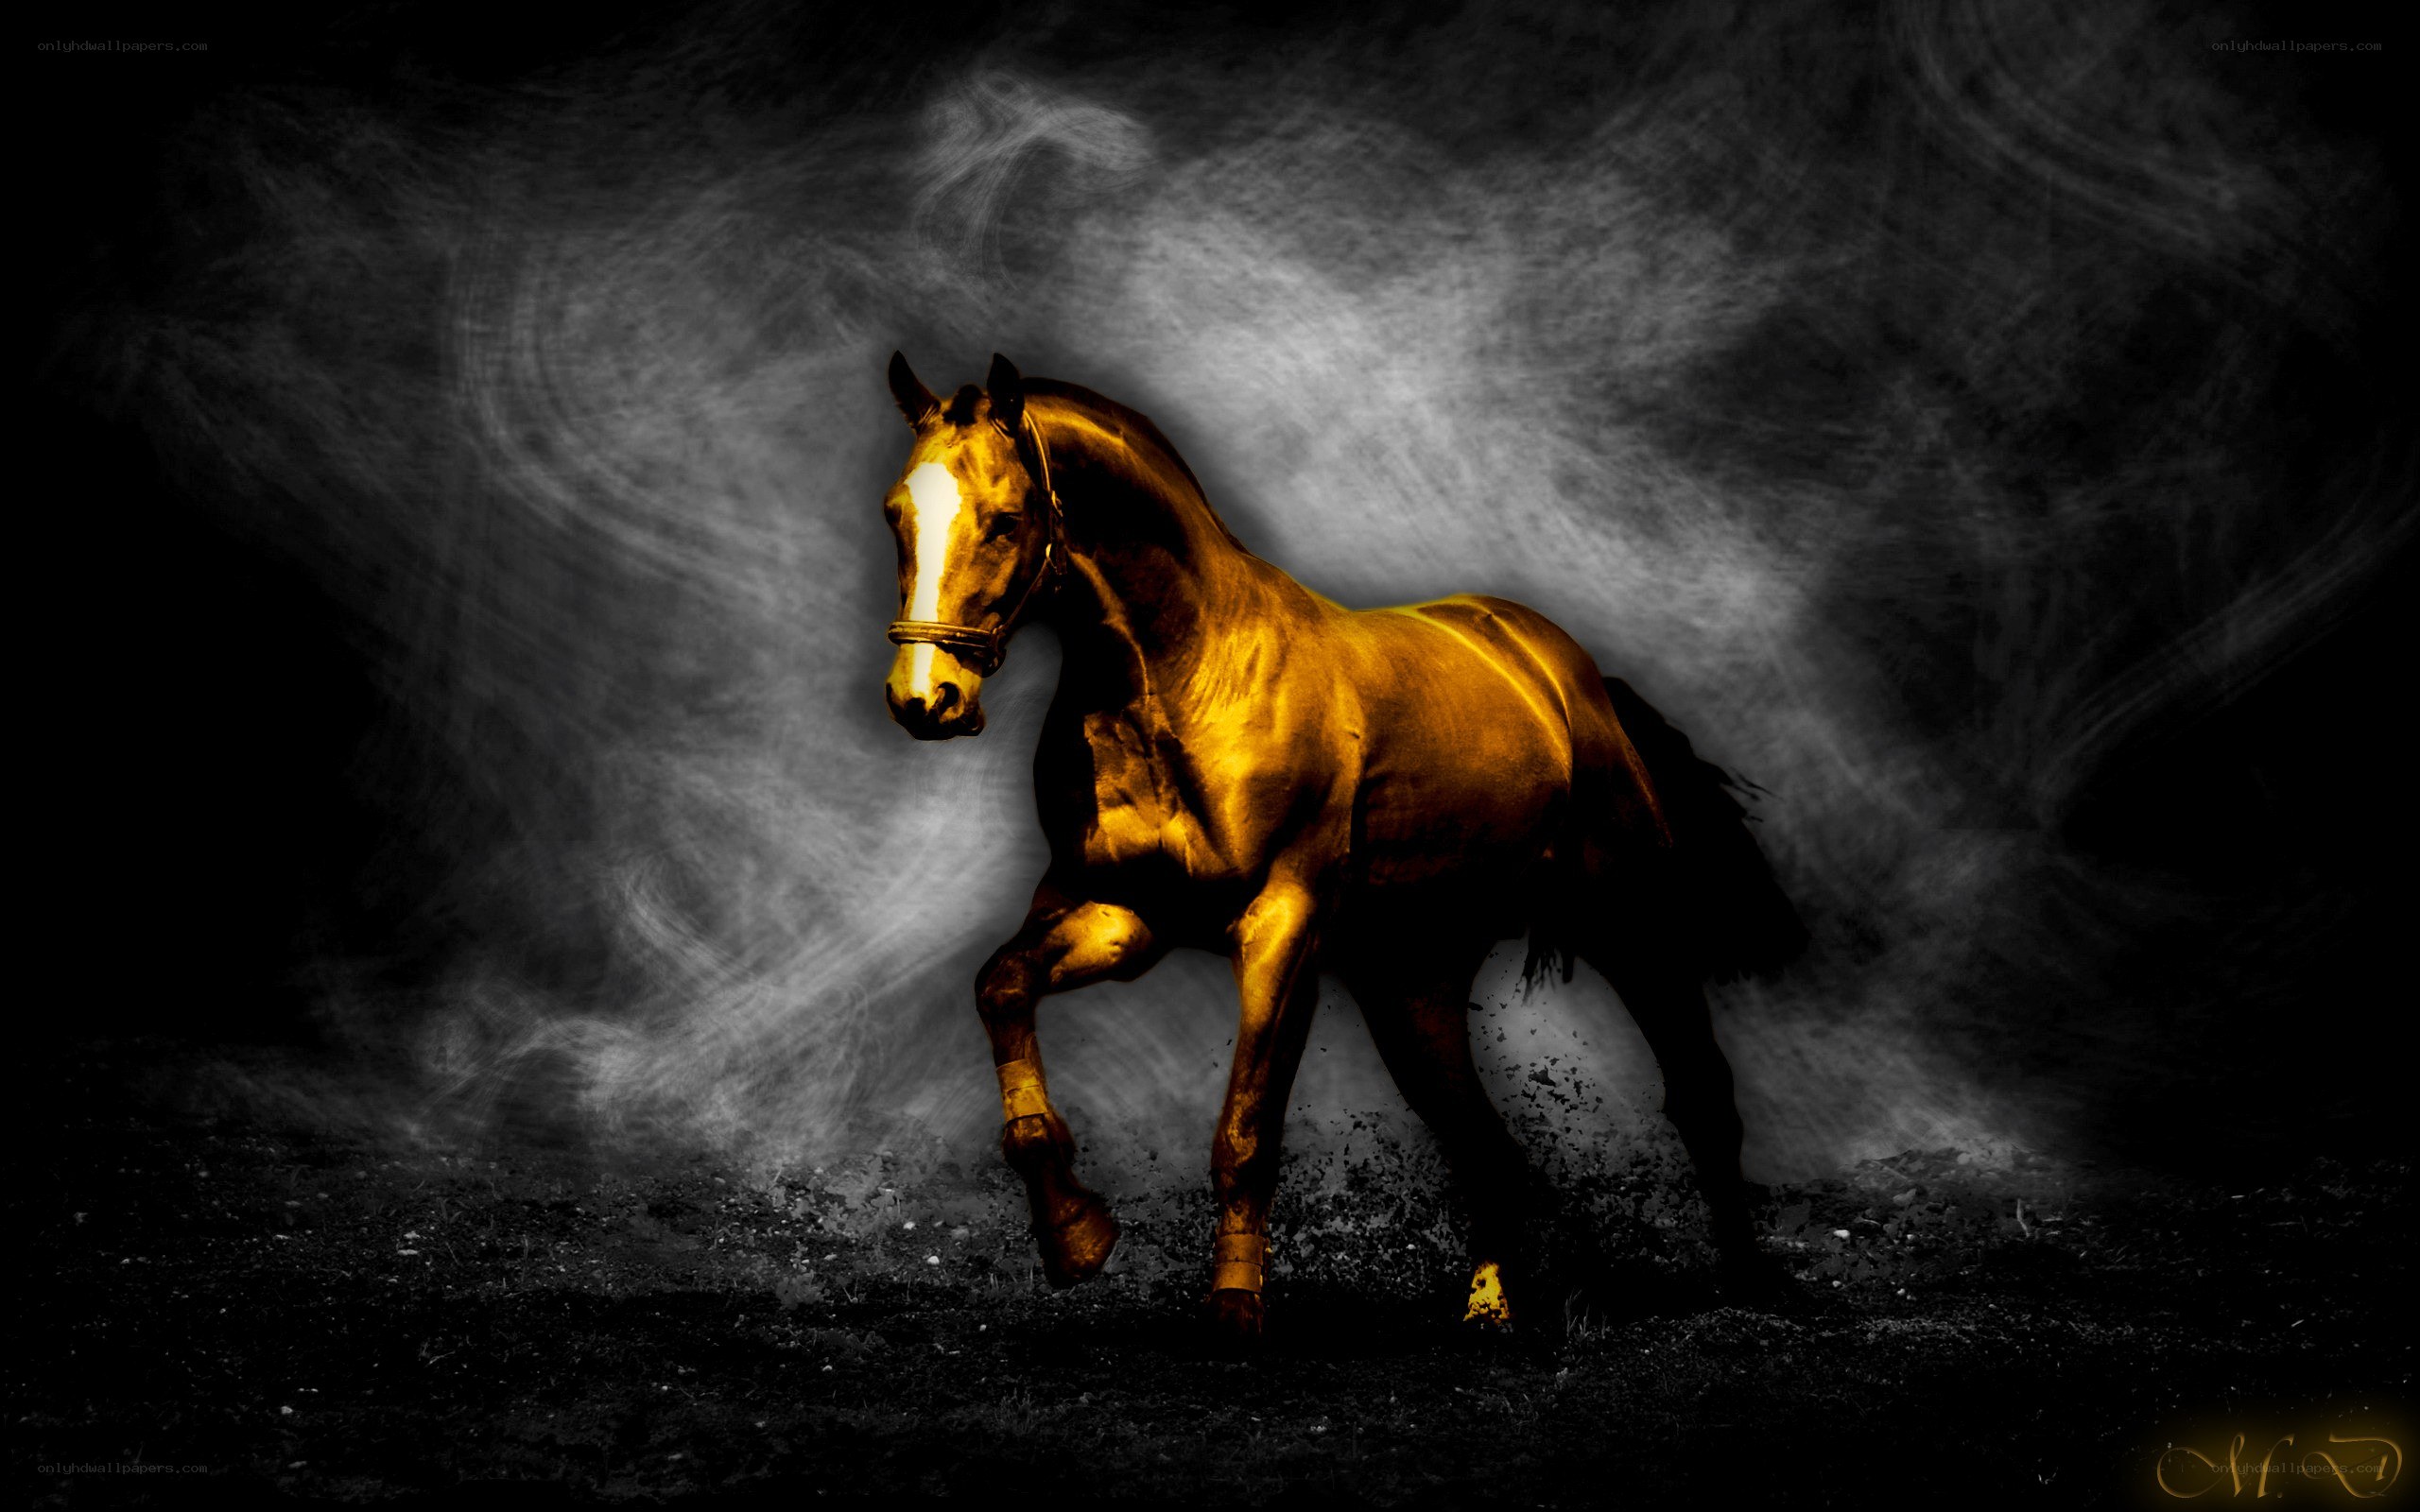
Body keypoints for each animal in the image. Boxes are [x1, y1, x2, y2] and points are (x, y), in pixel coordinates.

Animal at [875, 351, 1806, 1340]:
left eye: (1006, 520)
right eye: (897, 514)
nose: (924, 699)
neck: (1183, 680)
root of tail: (1564, 673)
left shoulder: (1281, 927)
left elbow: (1246, 1128)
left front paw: (1235, 1308)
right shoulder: (1121, 916)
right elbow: (1002, 989)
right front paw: (1077, 1238)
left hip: (1631, 924)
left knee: (1699, 1092)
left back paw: (1745, 1283)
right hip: (1413, 982)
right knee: (1480, 1138)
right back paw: (1496, 1308)